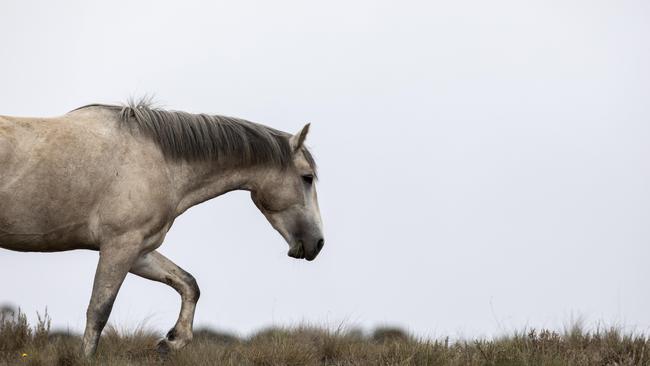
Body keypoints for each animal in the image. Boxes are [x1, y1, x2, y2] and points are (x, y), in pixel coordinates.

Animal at [0, 101, 322, 356]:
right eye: (307, 178)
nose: (317, 242)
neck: (158, 160)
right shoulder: (120, 246)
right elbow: (99, 311)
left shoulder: (139, 251)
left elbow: (188, 284)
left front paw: (173, 341)